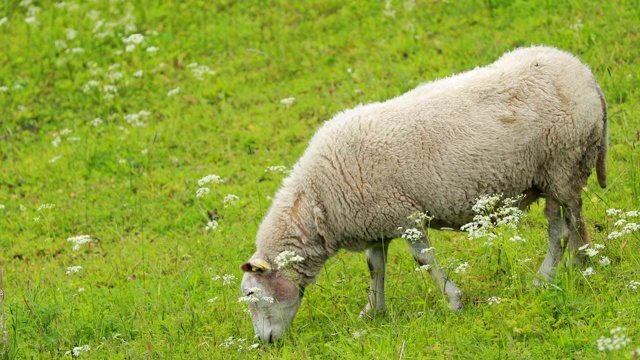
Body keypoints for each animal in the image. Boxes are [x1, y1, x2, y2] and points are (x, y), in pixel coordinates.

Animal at [239, 45, 604, 344]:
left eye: (252, 295)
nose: (265, 342)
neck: (318, 201)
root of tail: (582, 70)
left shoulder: (406, 216)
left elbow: (423, 260)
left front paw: (454, 300)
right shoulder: (377, 222)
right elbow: (375, 266)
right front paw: (373, 310)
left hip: (563, 162)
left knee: (563, 227)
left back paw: (553, 274)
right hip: (560, 171)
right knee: (570, 221)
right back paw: (577, 264)